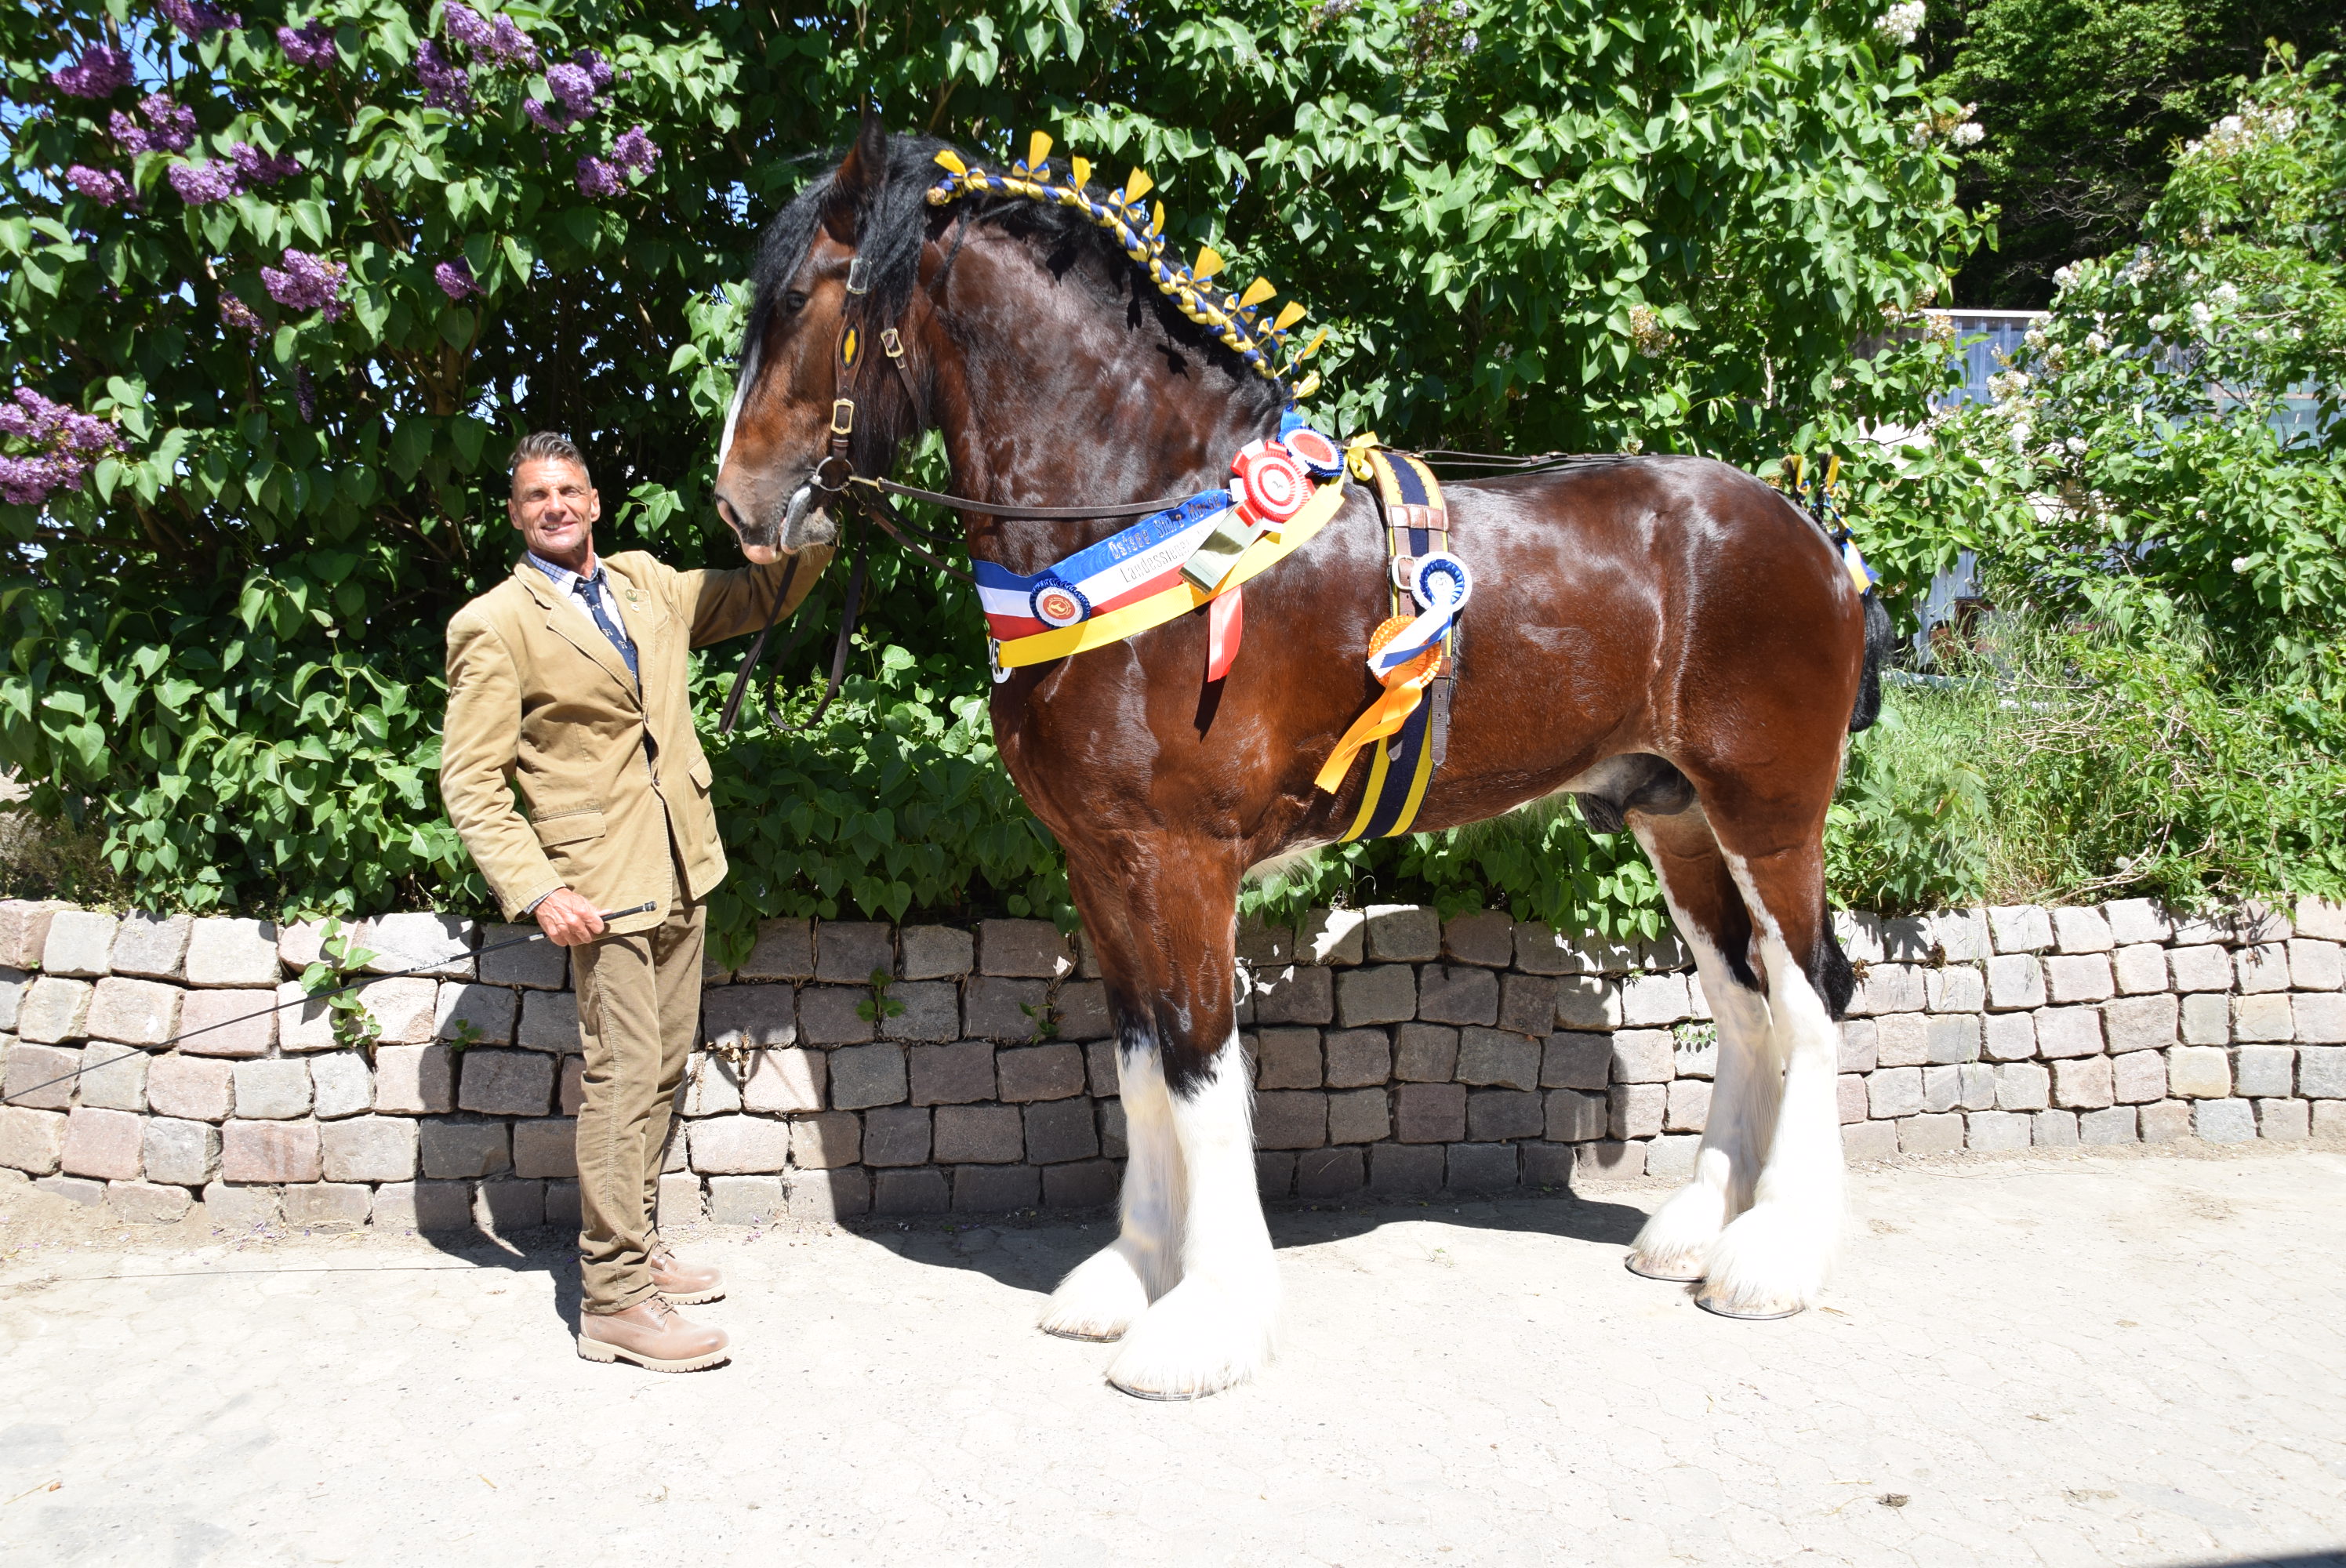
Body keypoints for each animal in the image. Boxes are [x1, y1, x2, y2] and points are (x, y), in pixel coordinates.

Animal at [713, 119, 1886, 1399]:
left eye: (803, 299)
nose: (737, 506)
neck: (1134, 521)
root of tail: (1812, 534)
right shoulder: (1100, 864)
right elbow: (1142, 1064)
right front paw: (1130, 1277)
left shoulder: (1183, 860)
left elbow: (1200, 1069)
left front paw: (1207, 1321)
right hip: (1672, 817)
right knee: (1742, 1000)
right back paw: (1699, 1229)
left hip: (1769, 811)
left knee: (1811, 996)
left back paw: (1773, 1256)